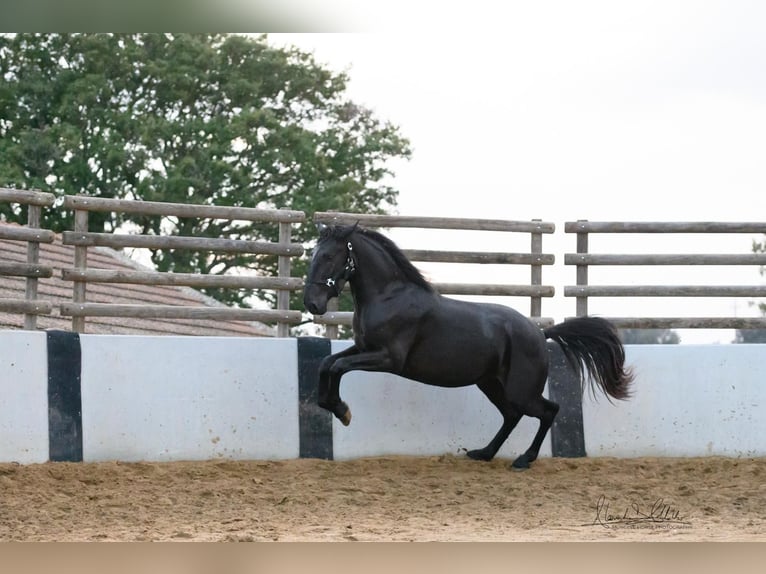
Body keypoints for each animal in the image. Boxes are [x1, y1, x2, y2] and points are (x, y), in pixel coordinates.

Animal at [304, 223, 632, 470]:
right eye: (313, 254)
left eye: (330, 256)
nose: (312, 304)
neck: (389, 297)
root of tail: (541, 334)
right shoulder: (363, 348)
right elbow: (327, 364)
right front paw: (335, 407)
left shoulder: (388, 359)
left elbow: (337, 366)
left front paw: (342, 410)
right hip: (491, 384)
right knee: (512, 415)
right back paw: (483, 453)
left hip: (520, 390)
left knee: (548, 411)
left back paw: (523, 460)